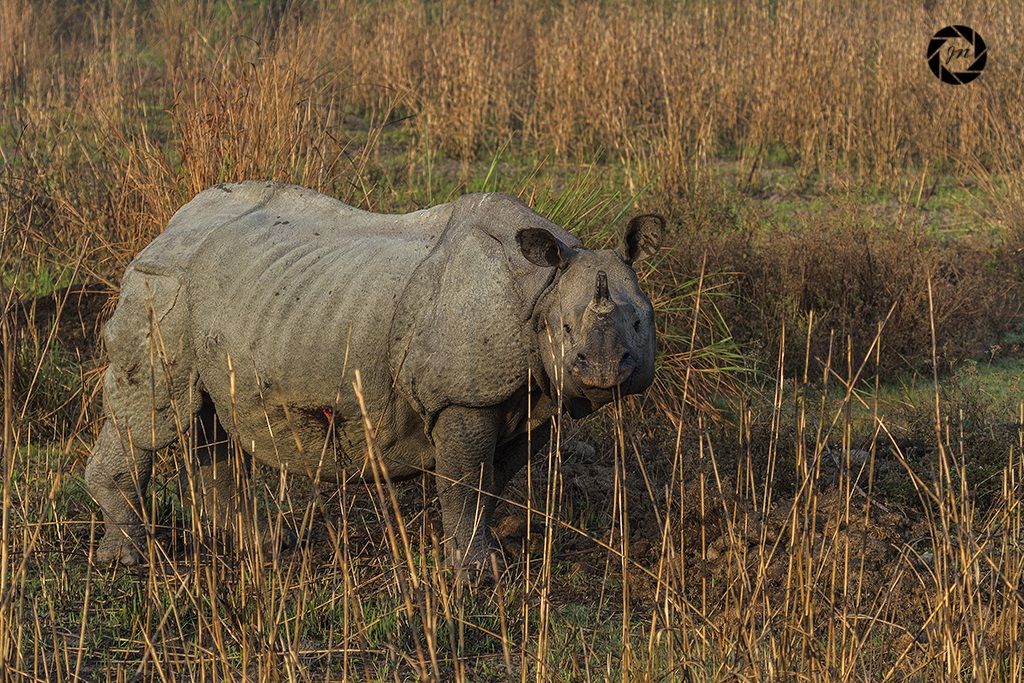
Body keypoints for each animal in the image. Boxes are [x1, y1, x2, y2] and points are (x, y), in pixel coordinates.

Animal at [85, 181, 663, 569]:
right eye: (565, 328)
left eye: (642, 322)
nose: (606, 371)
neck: (541, 289)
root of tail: (168, 227)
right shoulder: (465, 397)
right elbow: (467, 480)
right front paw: (478, 571)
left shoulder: (536, 394)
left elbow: (492, 479)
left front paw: (474, 546)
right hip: (160, 288)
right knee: (153, 414)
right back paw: (126, 559)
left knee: (209, 421)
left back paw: (263, 545)